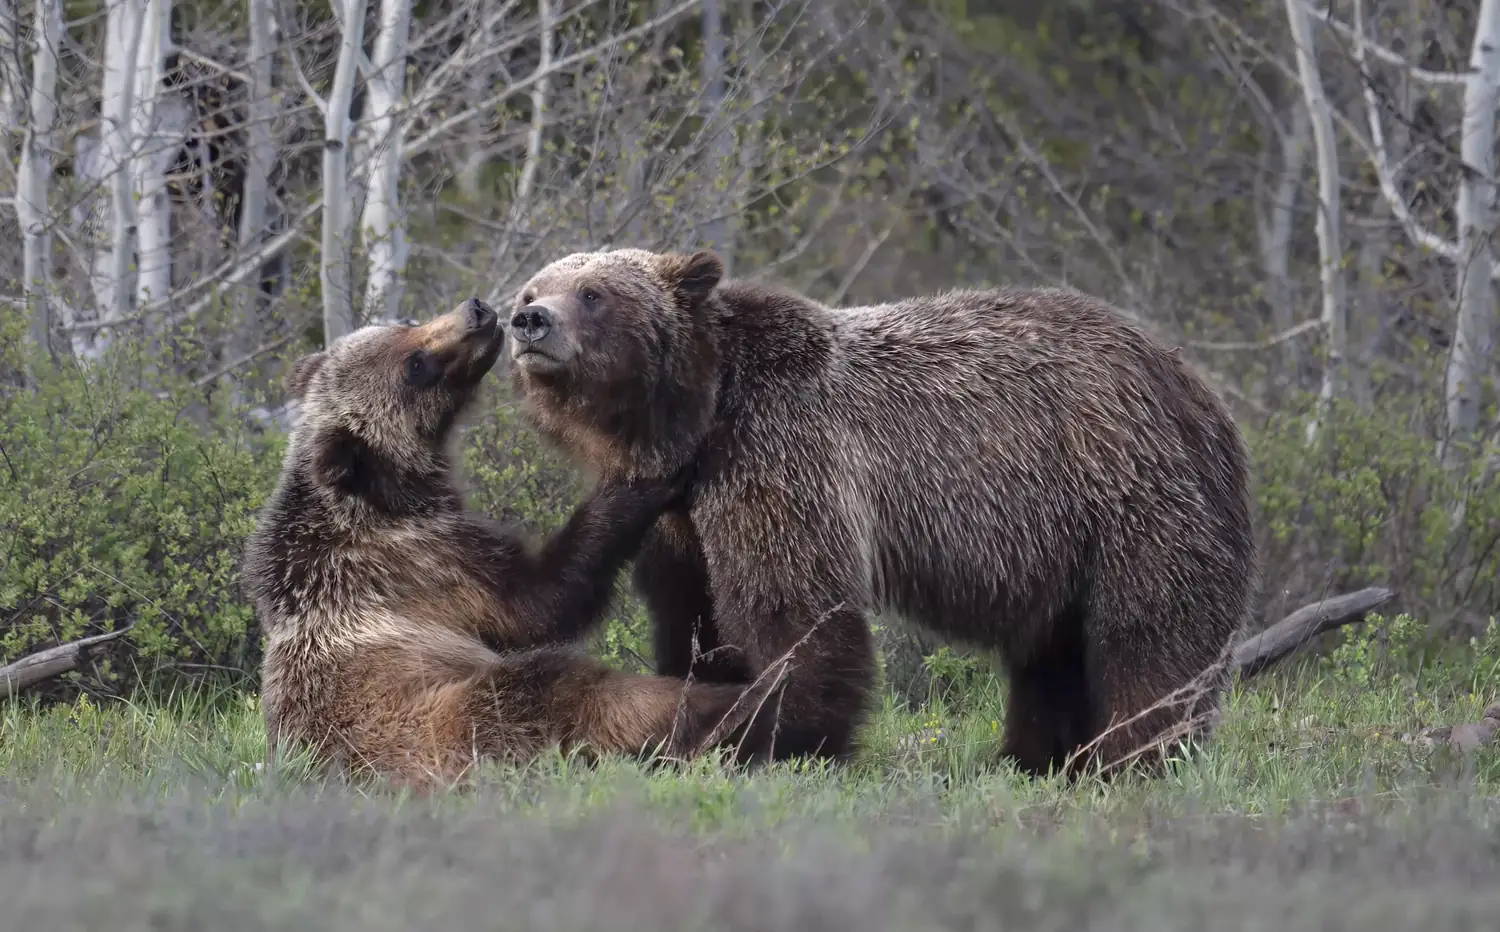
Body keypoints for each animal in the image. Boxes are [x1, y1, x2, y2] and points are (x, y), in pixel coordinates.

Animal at [240, 297, 771, 791]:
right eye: (415, 365)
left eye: (403, 325)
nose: (475, 312)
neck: (391, 495)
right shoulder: (429, 561)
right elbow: (539, 604)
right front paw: (644, 475)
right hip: (448, 721)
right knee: (568, 688)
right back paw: (731, 704)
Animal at [501, 248, 1258, 778]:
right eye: (534, 288)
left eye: (593, 293)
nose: (529, 321)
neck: (702, 414)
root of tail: (1201, 389)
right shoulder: (681, 512)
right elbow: (693, 616)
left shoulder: (778, 450)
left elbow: (794, 609)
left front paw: (774, 737)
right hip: (1065, 543)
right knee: (1053, 656)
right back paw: (1035, 759)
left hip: (1131, 495)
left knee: (1148, 639)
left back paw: (1131, 758)